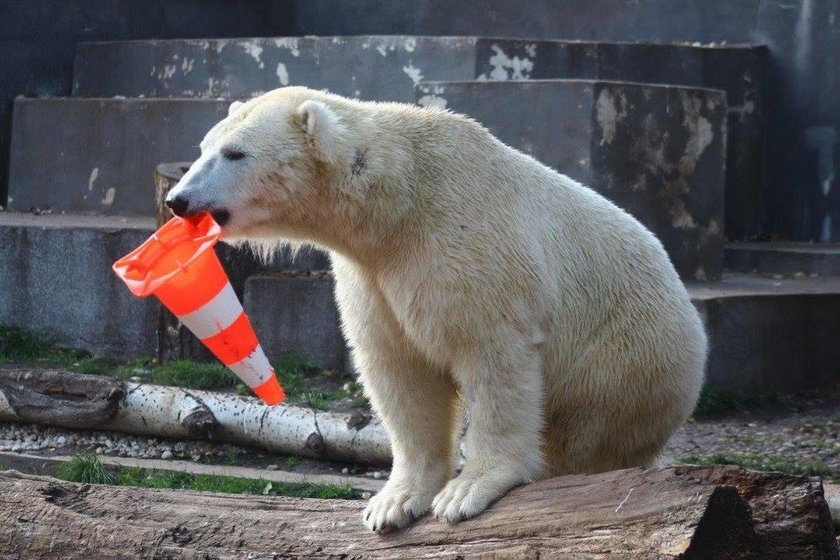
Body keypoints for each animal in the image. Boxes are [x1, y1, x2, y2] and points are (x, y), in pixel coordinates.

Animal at [166, 85, 708, 532]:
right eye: (202, 148)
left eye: (235, 153)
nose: (178, 199)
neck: (398, 201)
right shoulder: (372, 275)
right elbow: (400, 372)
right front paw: (392, 504)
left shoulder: (465, 244)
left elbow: (492, 358)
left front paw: (466, 491)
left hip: (624, 362)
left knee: (587, 437)